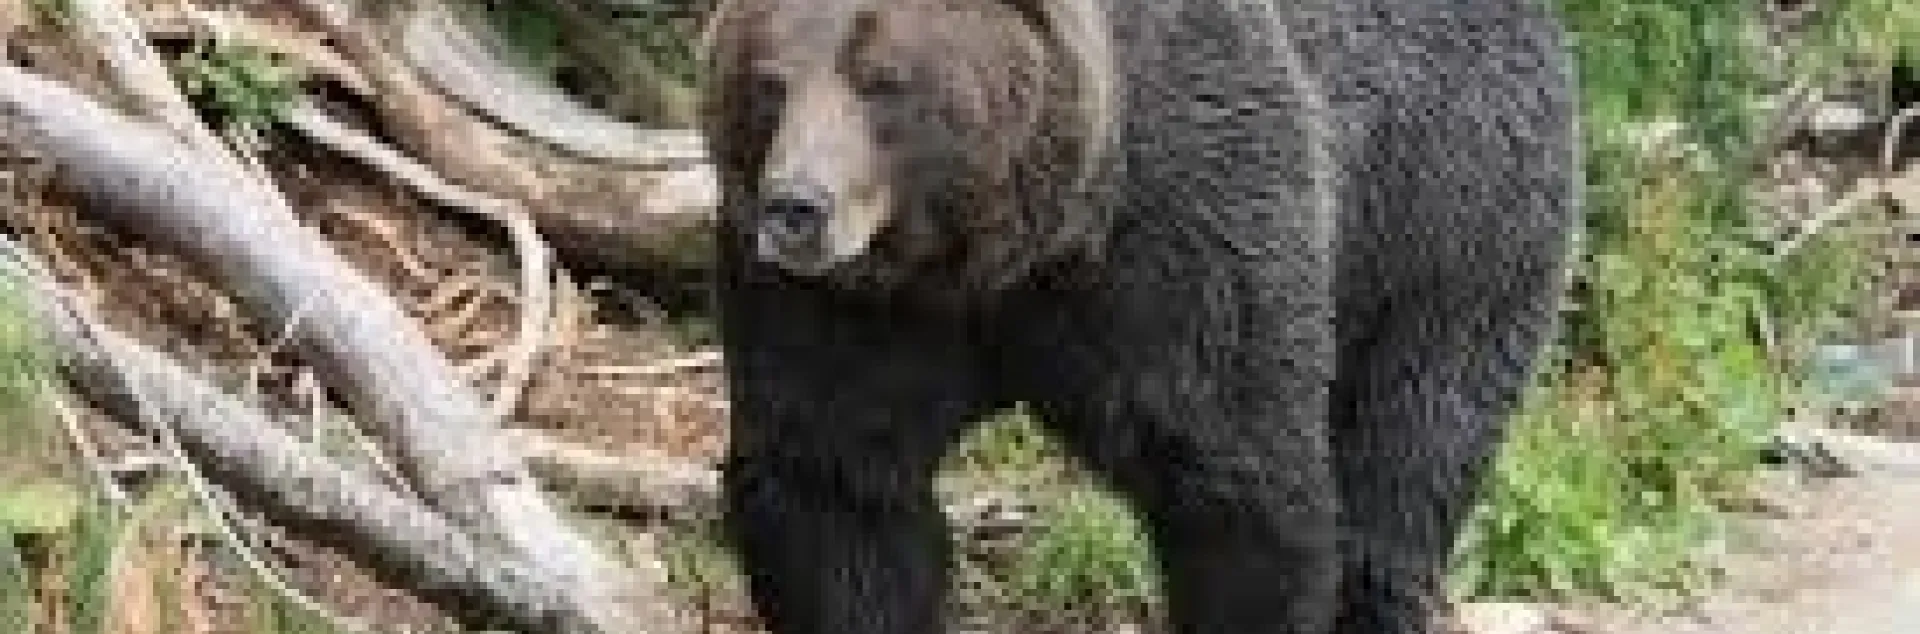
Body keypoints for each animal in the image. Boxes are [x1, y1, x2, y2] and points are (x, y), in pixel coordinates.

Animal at [698, 1, 1579, 633]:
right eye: (770, 81)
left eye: (883, 80)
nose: (797, 209)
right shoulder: (857, 310)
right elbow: (835, 485)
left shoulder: (1182, 236)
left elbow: (1240, 487)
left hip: (1452, 215)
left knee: (1413, 446)